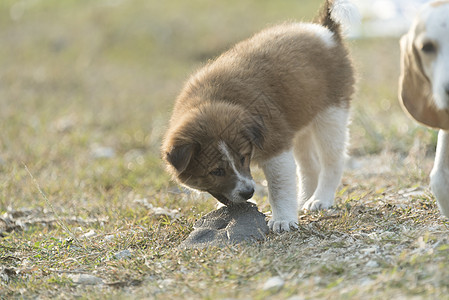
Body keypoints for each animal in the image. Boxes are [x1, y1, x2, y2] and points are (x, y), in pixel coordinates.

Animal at [162, 0, 356, 232]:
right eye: (216, 171)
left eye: (243, 158)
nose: (248, 192)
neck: (211, 99)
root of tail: (324, 30)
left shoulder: (276, 147)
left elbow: (279, 187)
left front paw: (283, 220)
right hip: (300, 122)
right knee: (309, 166)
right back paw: (303, 199)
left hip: (331, 115)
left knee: (332, 161)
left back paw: (321, 199)